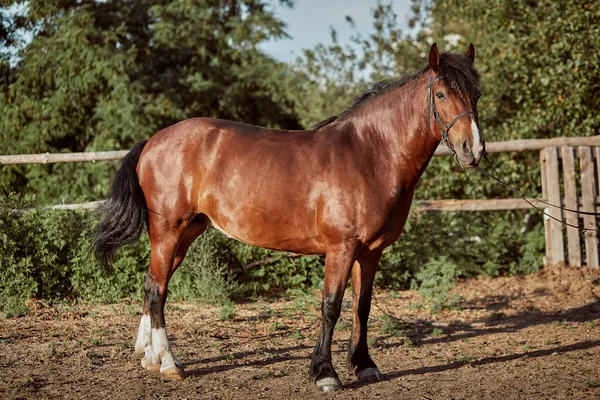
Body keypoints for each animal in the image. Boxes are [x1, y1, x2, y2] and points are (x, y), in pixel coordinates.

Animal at [94, 43, 486, 390]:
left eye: (477, 94)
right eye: (441, 94)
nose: (474, 150)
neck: (370, 154)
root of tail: (153, 142)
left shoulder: (371, 252)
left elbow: (362, 307)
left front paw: (364, 366)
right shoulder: (341, 249)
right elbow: (331, 306)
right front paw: (324, 373)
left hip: (186, 234)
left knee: (151, 283)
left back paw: (148, 356)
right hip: (168, 231)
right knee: (157, 290)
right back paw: (169, 364)